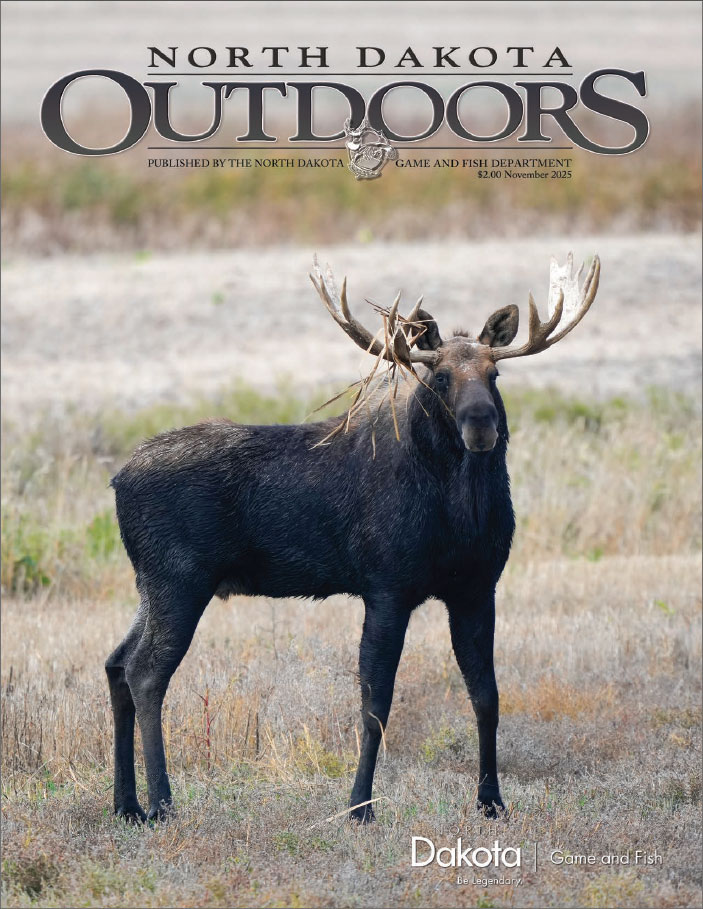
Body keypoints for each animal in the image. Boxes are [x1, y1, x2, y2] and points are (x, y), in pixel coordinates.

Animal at [106, 252, 600, 824]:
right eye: (440, 376)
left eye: (495, 373)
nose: (482, 425)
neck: (460, 517)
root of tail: (117, 481)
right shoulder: (387, 586)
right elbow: (375, 702)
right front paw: (359, 805)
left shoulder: (477, 588)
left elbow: (487, 695)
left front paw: (491, 800)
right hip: (179, 578)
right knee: (146, 673)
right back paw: (162, 802)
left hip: (150, 584)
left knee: (117, 664)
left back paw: (126, 805)